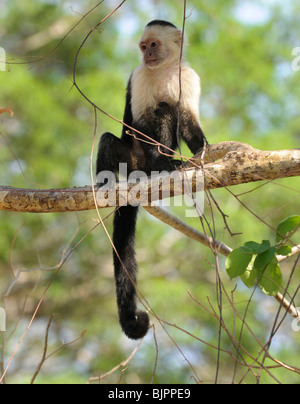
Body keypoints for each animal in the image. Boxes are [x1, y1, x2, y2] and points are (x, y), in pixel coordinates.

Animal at [96, 20, 209, 340]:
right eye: (143, 47)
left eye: (154, 45)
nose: (147, 55)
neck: (164, 70)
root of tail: (139, 173)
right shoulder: (139, 75)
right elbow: (142, 120)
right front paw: (161, 159)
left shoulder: (189, 77)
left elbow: (187, 118)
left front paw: (202, 149)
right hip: (130, 159)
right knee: (115, 137)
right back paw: (111, 182)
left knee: (169, 110)